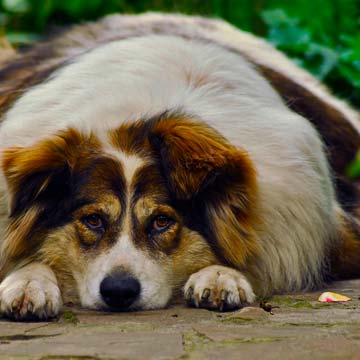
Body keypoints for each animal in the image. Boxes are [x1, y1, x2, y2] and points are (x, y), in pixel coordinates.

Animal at [0, 12, 360, 320]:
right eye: (92, 220)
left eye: (162, 221)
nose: (118, 292)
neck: (142, 118)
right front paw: (27, 282)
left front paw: (221, 275)